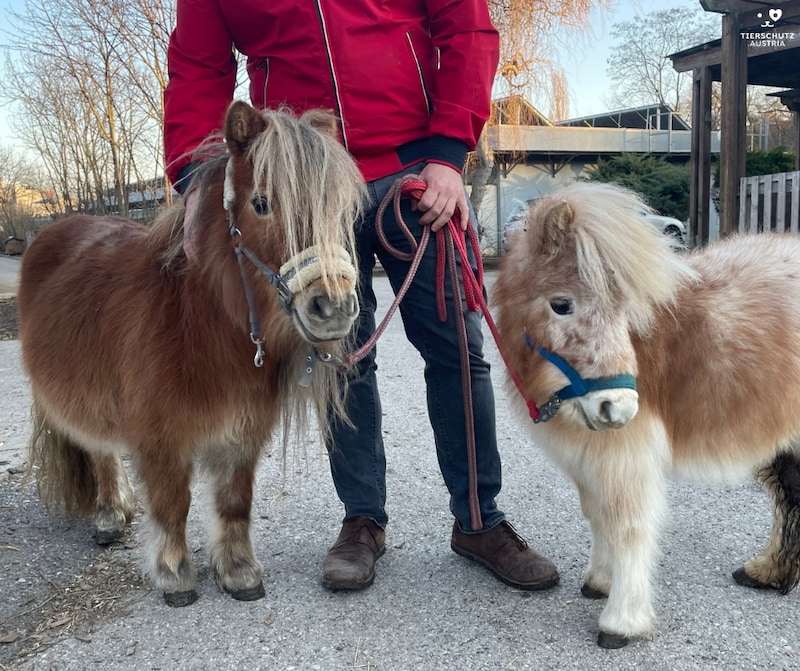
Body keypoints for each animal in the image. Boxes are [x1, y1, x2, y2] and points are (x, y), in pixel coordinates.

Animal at [18, 101, 364, 608]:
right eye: (262, 204)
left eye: (338, 208)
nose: (333, 308)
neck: (197, 323)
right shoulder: (161, 440)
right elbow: (172, 505)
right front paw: (174, 575)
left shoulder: (242, 433)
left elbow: (234, 502)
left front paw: (239, 572)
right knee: (99, 450)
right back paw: (109, 515)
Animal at [494, 182, 800, 652]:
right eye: (561, 304)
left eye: (625, 307)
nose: (617, 407)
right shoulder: (591, 457)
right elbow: (598, 513)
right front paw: (600, 580)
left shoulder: (627, 454)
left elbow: (628, 526)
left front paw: (622, 621)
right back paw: (767, 572)